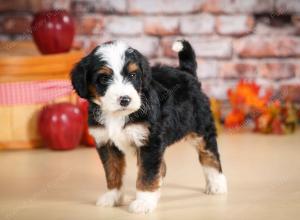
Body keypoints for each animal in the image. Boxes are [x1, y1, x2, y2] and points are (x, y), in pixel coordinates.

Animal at [70, 39, 227, 213]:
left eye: (133, 75)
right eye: (104, 78)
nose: (125, 100)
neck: (118, 115)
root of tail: (186, 72)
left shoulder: (149, 142)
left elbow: (147, 173)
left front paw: (144, 202)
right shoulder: (106, 142)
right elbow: (112, 171)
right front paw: (113, 197)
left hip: (201, 128)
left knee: (210, 155)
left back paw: (217, 185)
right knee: (162, 167)